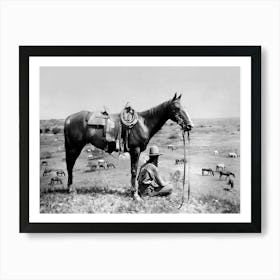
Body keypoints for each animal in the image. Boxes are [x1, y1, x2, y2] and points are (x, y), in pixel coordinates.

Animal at [64, 93, 194, 200]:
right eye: (176, 108)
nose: (189, 125)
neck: (143, 123)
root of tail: (69, 119)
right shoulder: (135, 150)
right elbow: (134, 171)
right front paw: (135, 195)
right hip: (74, 148)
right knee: (70, 166)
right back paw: (71, 190)